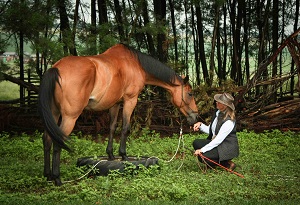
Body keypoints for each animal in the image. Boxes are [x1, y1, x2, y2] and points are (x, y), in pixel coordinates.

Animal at [38, 43, 199, 186]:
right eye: (190, 94)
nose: (196, 117)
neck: (135, 64)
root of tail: (56, 68)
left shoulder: (115, 104)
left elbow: (112, 127)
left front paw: (110, 155)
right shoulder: (130, 100)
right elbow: (125, 127)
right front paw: (123, 155)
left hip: (54, 113)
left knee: (47, 139)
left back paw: (47, 176)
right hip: (69, 117)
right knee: (57, 141)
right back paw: (57, 178)